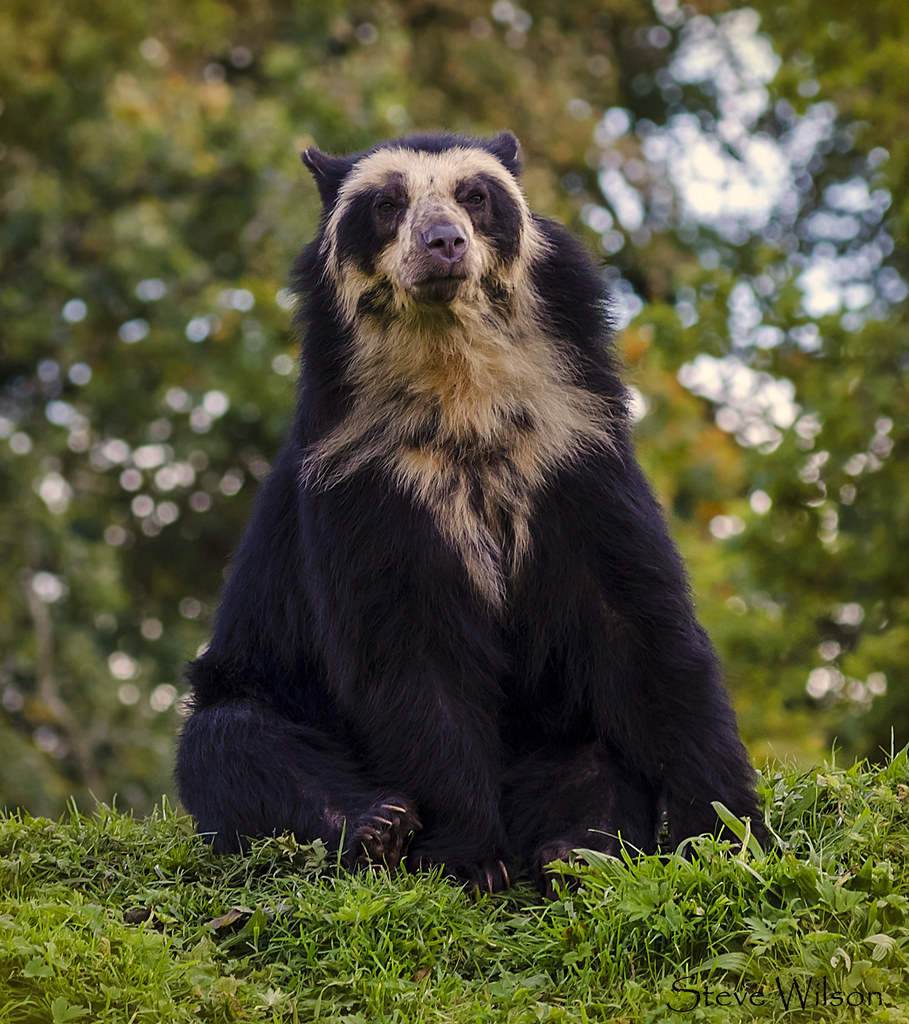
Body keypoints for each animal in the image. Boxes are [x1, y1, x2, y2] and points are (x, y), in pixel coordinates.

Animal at [175, 130, 763, 894]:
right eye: (387, 204)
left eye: (474, 196)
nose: (443, 244)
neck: (458, 382)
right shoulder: (367, 480)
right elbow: (408, 654)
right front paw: (469, 861)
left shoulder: (576, 455)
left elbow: (640, 625)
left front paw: (728, 833)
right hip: (254, 690)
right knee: (231, 742)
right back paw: (377, 826)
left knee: (595, 760)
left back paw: (574, 853)